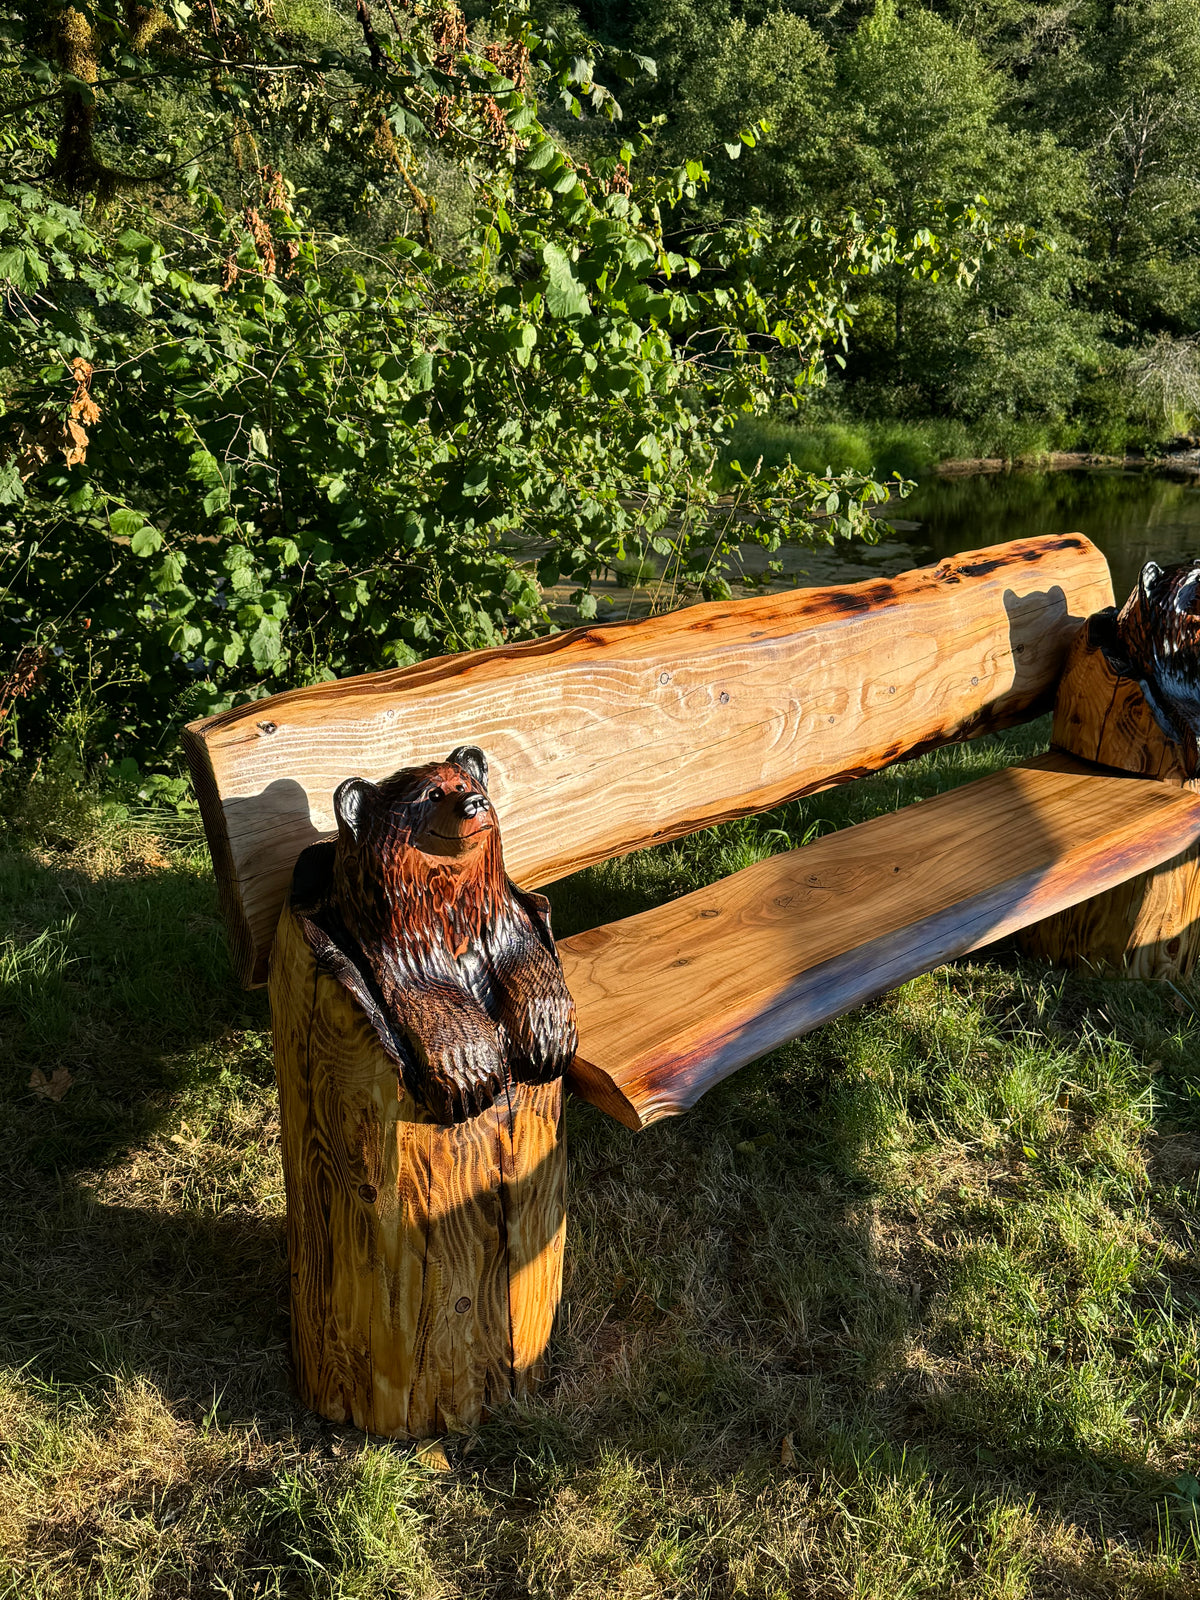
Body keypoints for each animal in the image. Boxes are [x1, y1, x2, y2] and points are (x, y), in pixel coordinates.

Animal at [290, 745, 578, 1124]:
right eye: (433, 795)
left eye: (464, 784)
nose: (476, 802)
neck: (451, 906)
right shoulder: (400, 945)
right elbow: (427, 995)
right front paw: (471, 1074)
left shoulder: (499, 918)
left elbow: (524, 958)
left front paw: (548, 1038)